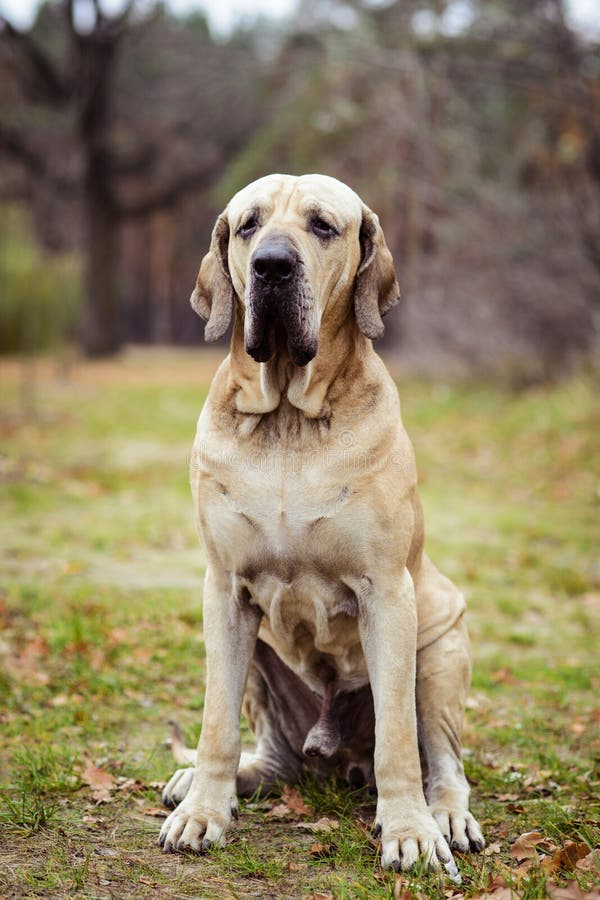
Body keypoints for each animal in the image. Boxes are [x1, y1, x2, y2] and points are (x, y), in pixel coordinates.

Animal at [158, 172, 482, 876]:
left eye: (323, 226)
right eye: (248, 225)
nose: (272, 266)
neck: (289, 417)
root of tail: (331, 755)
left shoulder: (388, 594)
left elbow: (399, 740)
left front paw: (409, 830)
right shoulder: (224, 591)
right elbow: (216, 724)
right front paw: (202, 812)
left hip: (441, 649)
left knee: (441, 759)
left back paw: (444, 814)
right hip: (258, 661)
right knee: (271, 756)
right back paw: (207, 781)